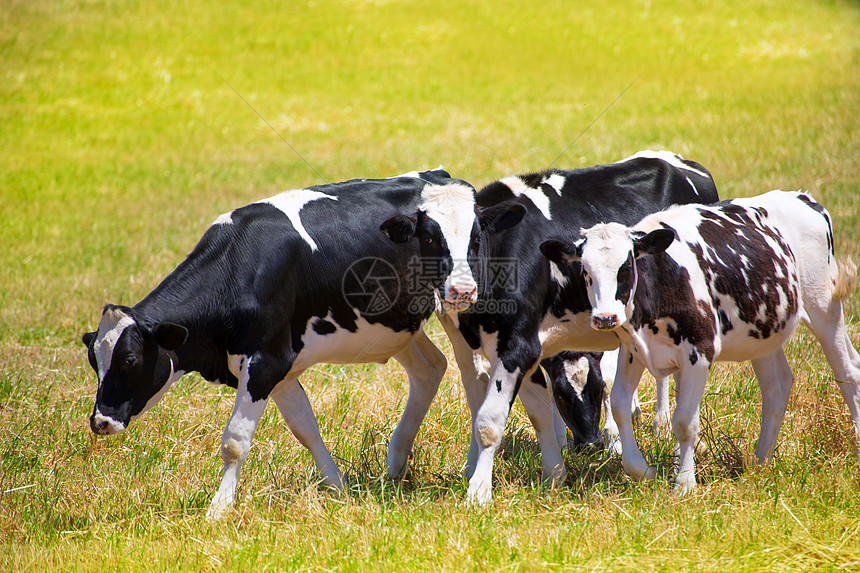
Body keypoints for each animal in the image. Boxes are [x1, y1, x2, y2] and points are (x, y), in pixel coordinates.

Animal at [82, 169, 524, 520]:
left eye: (130, 358)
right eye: (94, 362)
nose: (100, 420)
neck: (241, 266)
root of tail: (436, 174)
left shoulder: (265, 362)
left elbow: (235, 442)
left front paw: (218, 510)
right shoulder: (277, 366)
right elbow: (304, 427)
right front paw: (337, 488)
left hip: (455, 310)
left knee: (474, 381)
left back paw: (472, 473)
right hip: (395, 324)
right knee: (430, 369)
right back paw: (396, 464)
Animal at [436, 150, 720, 502]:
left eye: (475, 237)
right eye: (431, 238)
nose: (588, 444)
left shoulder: (521, 343)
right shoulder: (473, 347)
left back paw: (662, 426)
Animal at [540, 189, 860, 492]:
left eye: (627, 267)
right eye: (585, 271)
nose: (605, 317)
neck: (661, 281)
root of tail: (802, 198)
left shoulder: (699, 351)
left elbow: (684, 421)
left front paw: (684, 483)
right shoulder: (633, 351)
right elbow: (620, 406)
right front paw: (643, 470)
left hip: (823, 305)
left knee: (847, 372)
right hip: (764, 331)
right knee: (777, 386)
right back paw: (759, 461)